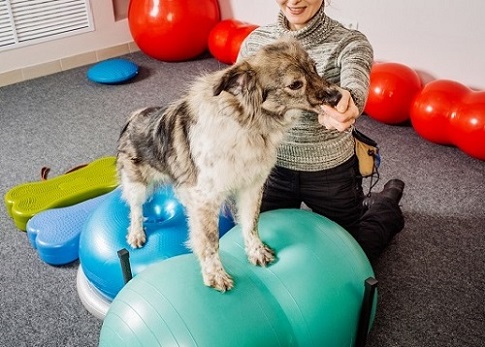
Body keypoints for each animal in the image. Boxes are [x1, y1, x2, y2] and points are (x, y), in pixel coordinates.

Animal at [116, 36, 340, 292]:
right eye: (295, 84)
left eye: (314, 68)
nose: (338, 97)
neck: (247, 126)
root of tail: (135, 116)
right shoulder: (206, 198)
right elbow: (210, 241)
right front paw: (214, 274)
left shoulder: (251, 187)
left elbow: (251, 222)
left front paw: (256, 251)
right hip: (138, 185)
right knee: (135, 209)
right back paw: (136, 234)